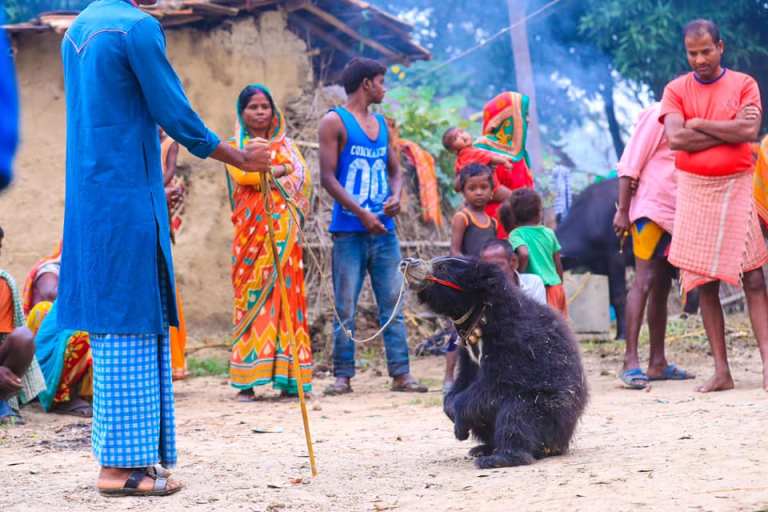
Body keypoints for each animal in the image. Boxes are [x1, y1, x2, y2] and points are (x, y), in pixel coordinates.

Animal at [402, 256, 588, 468]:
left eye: (442, 268)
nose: (407, 262)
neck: (478, 317)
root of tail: (563, 442)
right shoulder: (466, 353)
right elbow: (463, 380)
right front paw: (452, 413)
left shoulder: (513, 339)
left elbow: (498, 382)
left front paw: (459, 426)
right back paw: (483, 449)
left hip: (552, 413)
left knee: (516, 414)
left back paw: (499, 458)